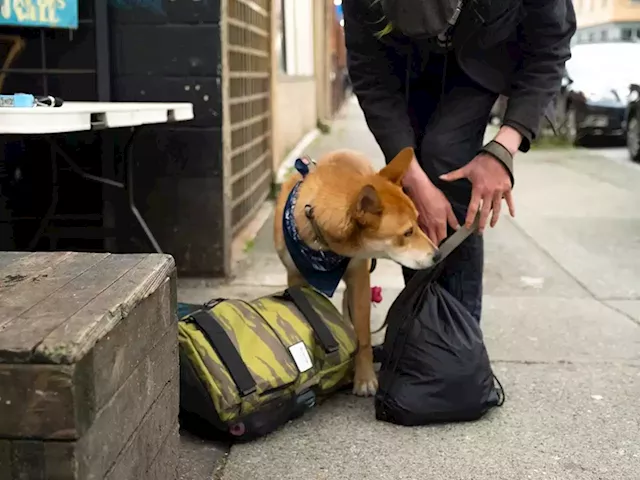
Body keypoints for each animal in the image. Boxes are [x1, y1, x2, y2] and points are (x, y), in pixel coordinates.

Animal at [272, 146, 438, 398]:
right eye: (407, 233)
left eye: (418, 223)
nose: (438, 254)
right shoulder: (296, 278)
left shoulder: (359, 276)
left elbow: (363, 337)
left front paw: (365, 378)